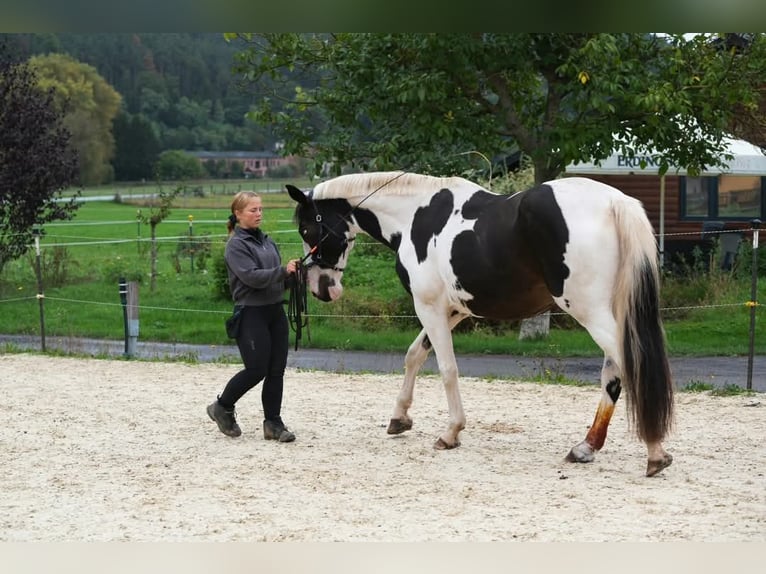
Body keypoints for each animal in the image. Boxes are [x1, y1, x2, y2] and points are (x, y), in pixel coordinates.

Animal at [284, 171, 676, 476]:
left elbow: (446, 368)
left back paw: (655, 452)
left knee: (631, 366)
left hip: (590, 312)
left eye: (307, 229)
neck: (415, 215)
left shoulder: (429, 306)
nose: (322, 288)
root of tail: (615, 203)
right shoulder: (454, 310)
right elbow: (414, 355)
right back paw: (586, 447)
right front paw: (400, 418)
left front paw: (450, 432)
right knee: (613, 373)